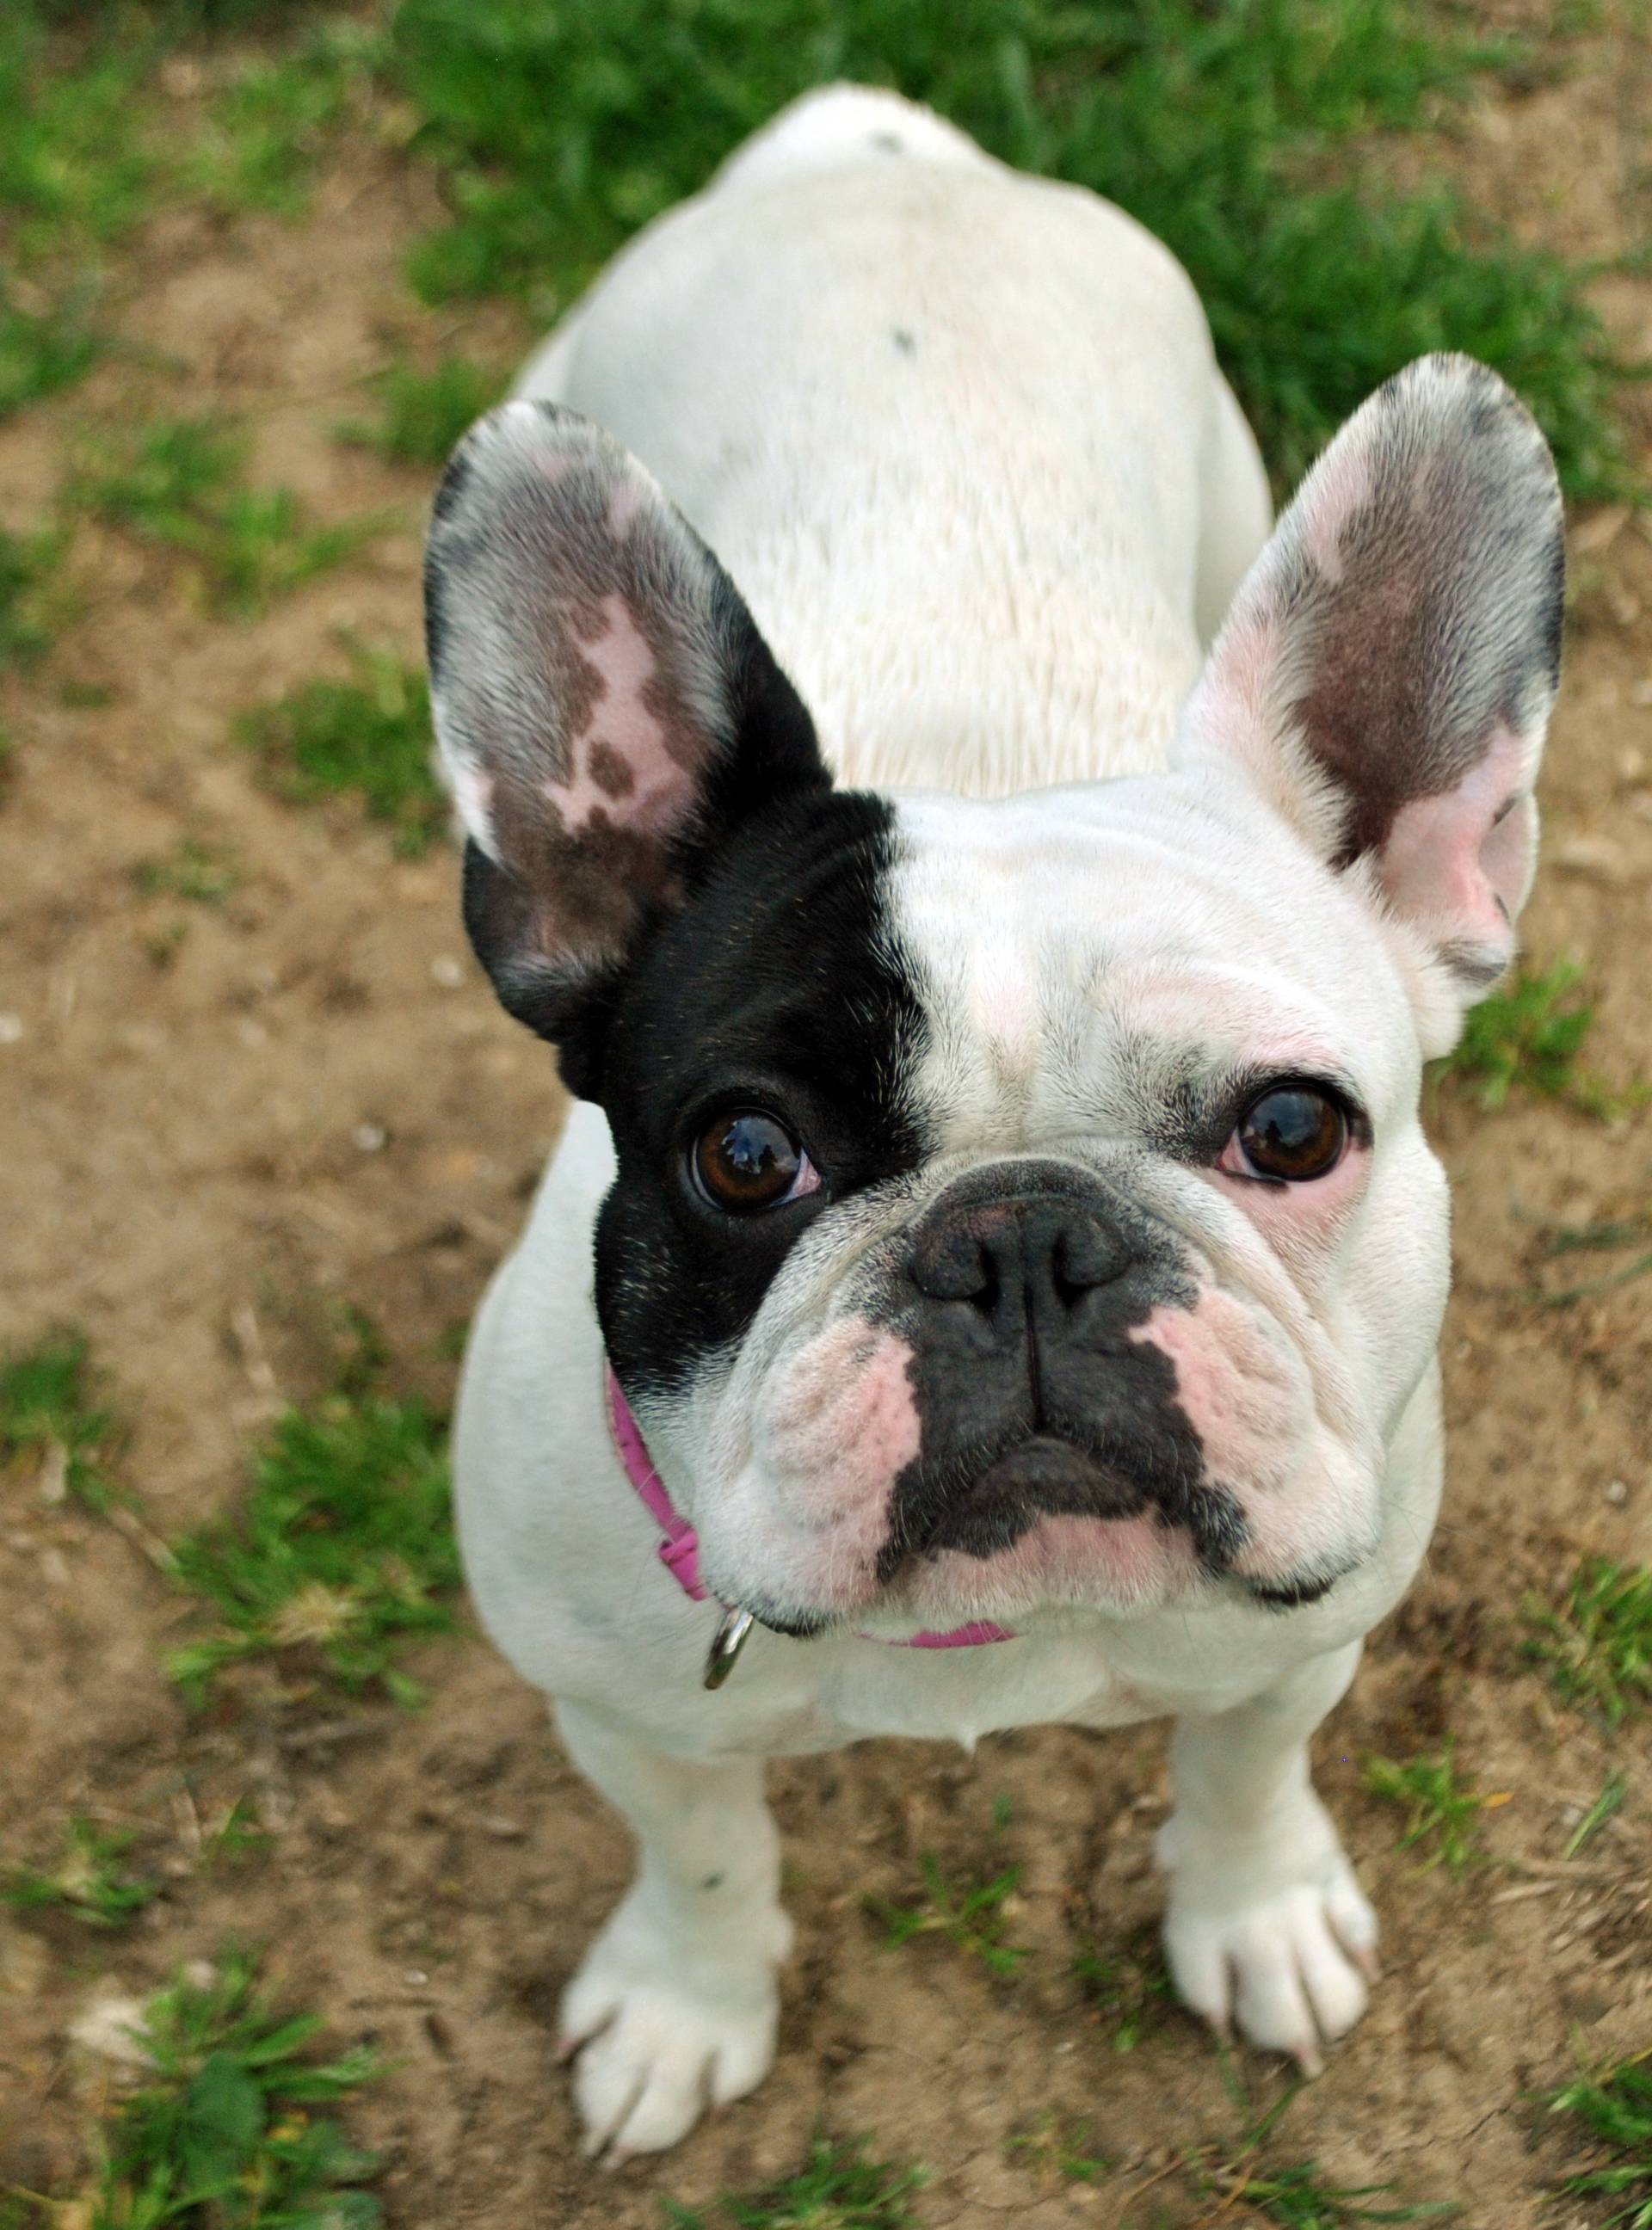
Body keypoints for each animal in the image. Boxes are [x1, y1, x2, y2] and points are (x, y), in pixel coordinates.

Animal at [421, 87, 1560, 2159]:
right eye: (745, 1156)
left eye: (1294, 1131)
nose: (1021, 1235)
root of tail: (872, 148)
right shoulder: (625, 1718)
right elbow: (703, 1854)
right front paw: (687, 2005)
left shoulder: (1299, 1643)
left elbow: (1243, 1781)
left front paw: (1255, 1918)